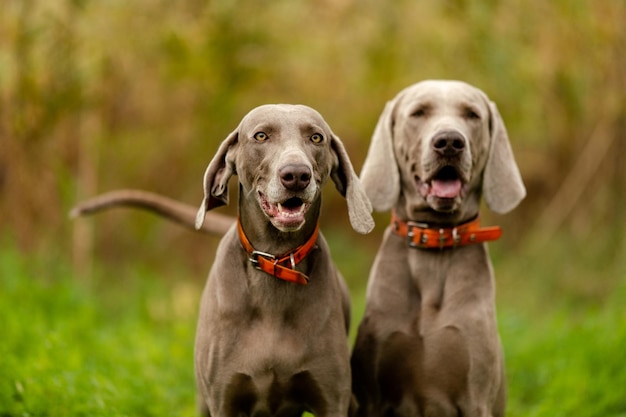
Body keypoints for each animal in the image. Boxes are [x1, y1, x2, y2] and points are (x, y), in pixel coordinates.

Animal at [75, 104, 372, 416]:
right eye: (261, 135)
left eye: (316, 138)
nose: (296, 174)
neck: (274, 261)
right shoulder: (224, 398)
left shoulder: (332, 399)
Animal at [348, 79, 524, 416]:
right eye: (419, 113)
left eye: (472, 114)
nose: (450, 142)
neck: (435, 235)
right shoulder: (372, 397)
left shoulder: (476, 397)